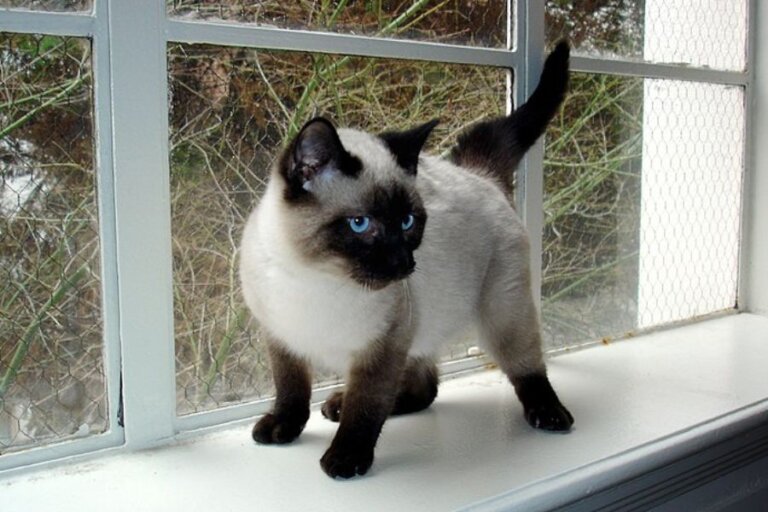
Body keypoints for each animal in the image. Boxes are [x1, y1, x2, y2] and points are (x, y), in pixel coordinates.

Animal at [243, 42, 572, 478]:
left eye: (408, 221)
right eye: (361, 224)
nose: (403, 264)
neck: (317, 277)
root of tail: (478, 174)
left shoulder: (382, 348)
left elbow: (367, 408)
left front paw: (345, 459)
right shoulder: (283, 338)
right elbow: (291, 390)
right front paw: (284, 428)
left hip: (502, 311)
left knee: (525, 367)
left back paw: (551, 415)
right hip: (424, 324)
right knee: (425, 388)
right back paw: (337, 403)